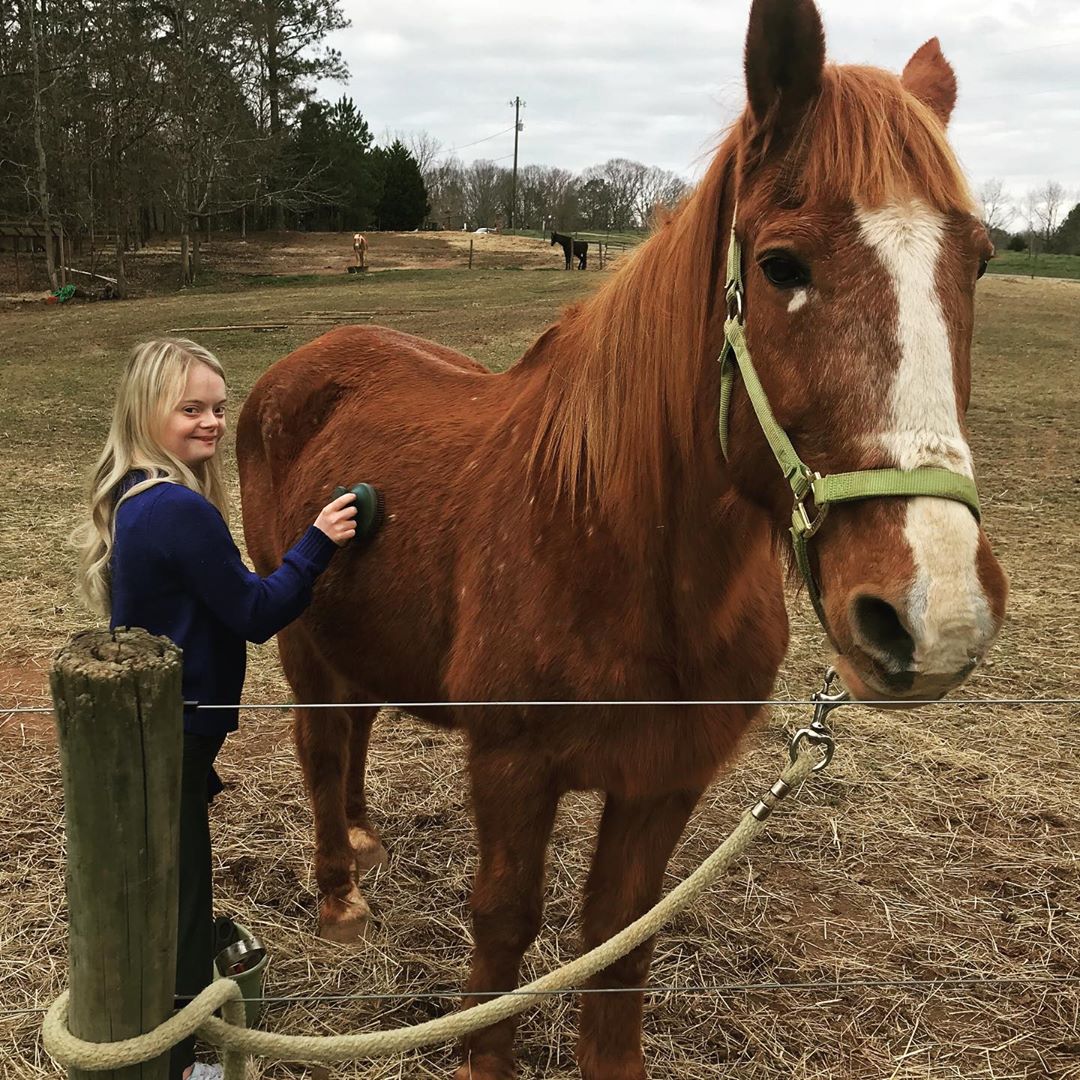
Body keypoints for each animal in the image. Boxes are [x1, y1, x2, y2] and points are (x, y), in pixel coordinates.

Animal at [236, 4, 1002, 1075]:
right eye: (781, 265)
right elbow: (505, 925)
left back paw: (362, 838)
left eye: (978, 261)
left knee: (358, 727)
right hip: (303, 637)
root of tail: (304, 365)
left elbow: (616, 938)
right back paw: (340, 893)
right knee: (320, 740)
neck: (618, 553)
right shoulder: (513, 769)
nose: (933, 614)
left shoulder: (666, 779)